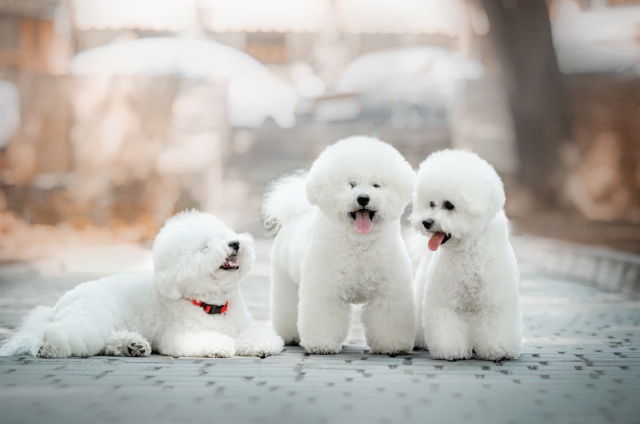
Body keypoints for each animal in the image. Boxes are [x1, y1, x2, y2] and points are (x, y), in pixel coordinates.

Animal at [0, 210, 282, 360]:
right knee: (66, 336)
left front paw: (261, 344)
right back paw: (48, 347)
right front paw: (220, 347)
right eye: (204, 247)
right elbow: (211, 340)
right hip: (89, 318)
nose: (234, 243)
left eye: (225, 236)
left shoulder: (241, 327)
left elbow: (256, 337)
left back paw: (131, 345)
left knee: (107, 341)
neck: (210, 304)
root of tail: (59, 304)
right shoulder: (180, 337)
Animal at [262, 136, 418, 354]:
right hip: (286, 280)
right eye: (351, 184)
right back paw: (290, 335)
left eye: (376, 185)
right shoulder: (325, 289)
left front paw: (392, 345)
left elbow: (389, 317)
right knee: (287, 307)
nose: (363, 198)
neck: (359, 243)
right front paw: (322, 345)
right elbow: (323, 316)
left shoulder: (389, 290)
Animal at [412, 149, 524, 362]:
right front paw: (452, 351)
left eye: (449, 205)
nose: (426, 222)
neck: (468, 249)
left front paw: (498, 350)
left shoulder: (495, 300)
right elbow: (446, 324)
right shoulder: (445, 301)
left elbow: (496, 325)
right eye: (431, 204)